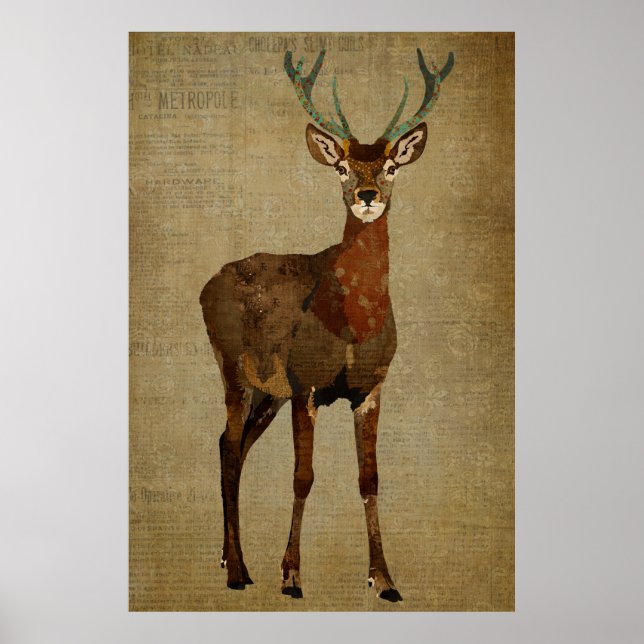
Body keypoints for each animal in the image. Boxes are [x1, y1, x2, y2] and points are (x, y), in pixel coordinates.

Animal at [200, 48, 454, 602]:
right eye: (340, 166)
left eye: (389, 166)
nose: (366, 194)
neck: (351, 323)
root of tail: (206, 286)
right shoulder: (306, 383)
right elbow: (303, 476)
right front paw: (292, 576)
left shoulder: (370, 387)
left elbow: (369, 480)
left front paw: (385, 580)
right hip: (231, 366)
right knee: (228, 444)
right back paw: (238, 571)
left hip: (266, 392)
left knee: (232, 445)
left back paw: (230, 557)